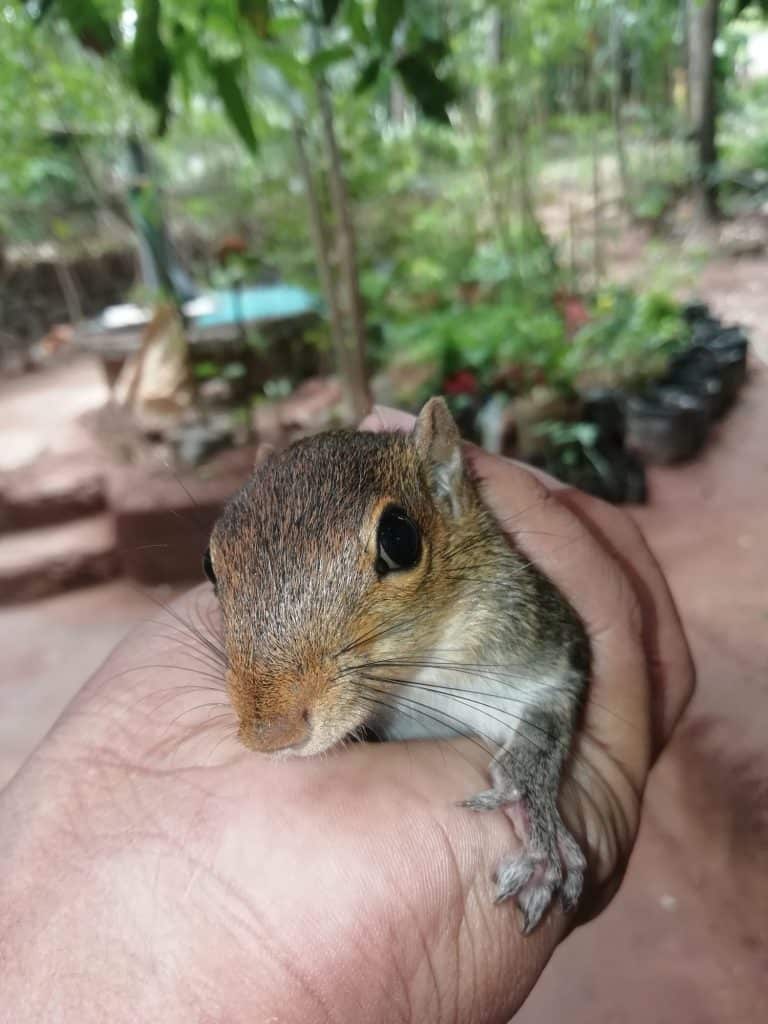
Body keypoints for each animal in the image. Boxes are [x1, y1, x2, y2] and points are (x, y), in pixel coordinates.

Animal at [205, 397, 590, 933]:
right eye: (208, 565)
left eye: (400, 538)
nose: (270, 733)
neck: (414, 677)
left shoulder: (535, 636)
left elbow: (547, 719)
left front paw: (538, 823)